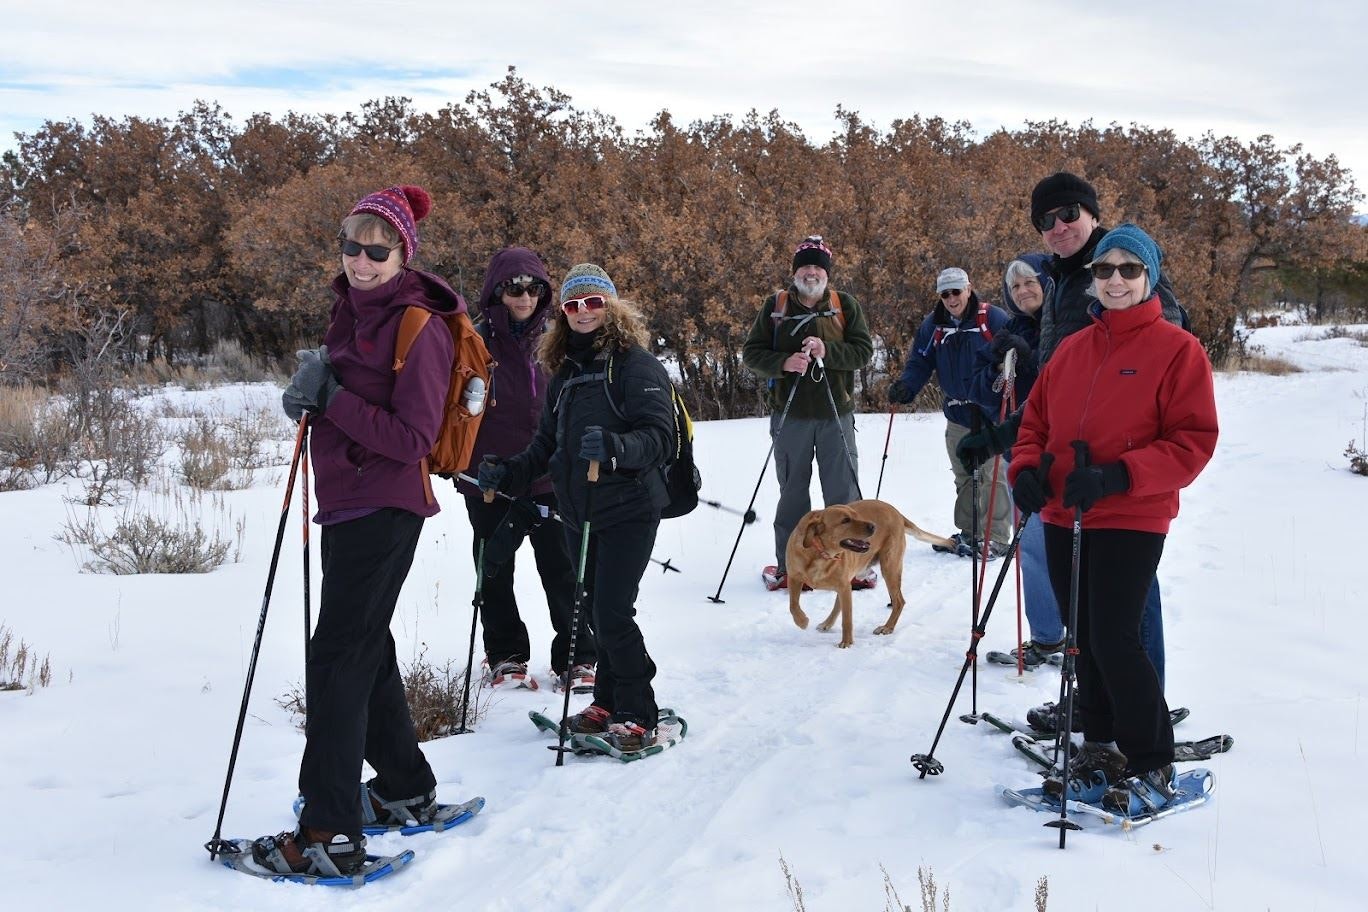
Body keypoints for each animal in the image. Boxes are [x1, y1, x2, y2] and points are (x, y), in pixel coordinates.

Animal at [787, 500, 957, 648]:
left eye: (856, 515)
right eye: (845, 520)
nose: (873, 526)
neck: (819, 553)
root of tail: (896, 512)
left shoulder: (843, 586)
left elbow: (847, 619)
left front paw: (846, 643)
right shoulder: (794, 578)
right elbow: (793, 605)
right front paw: (802, 621)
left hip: (889, 567)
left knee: (899, 601)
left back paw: (887, 627)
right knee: (838, 604)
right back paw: (827, 623)